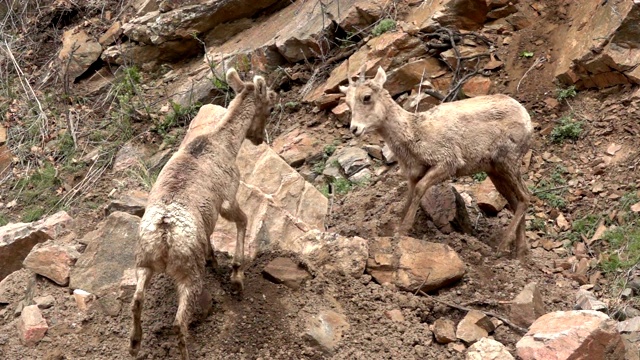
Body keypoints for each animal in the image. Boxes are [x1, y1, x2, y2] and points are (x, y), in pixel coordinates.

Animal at [131, 68, 278, 360]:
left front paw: (214, 259)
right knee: (179, 322)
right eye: (269, 106)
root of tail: (165, 233)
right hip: (188, 273)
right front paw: (236, 278)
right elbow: (243, 220)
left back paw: (134, 344)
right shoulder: (228, 197)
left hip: (143, 262)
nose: (258, 139)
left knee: (137, 299)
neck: (224, 143)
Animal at [342, 65, 532, 258]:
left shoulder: (446, 164)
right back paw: (520, 251)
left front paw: (403, 231)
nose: (355, 129)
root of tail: (525, 115)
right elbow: (408, 198)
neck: (415, 133)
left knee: (526, 198)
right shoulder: (413, 175)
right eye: (348, 102)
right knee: (516, 202)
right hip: (495, 172)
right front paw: (396, 230)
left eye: (366, 97)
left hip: (508, 162)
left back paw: (502, 247)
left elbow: (419, 190)